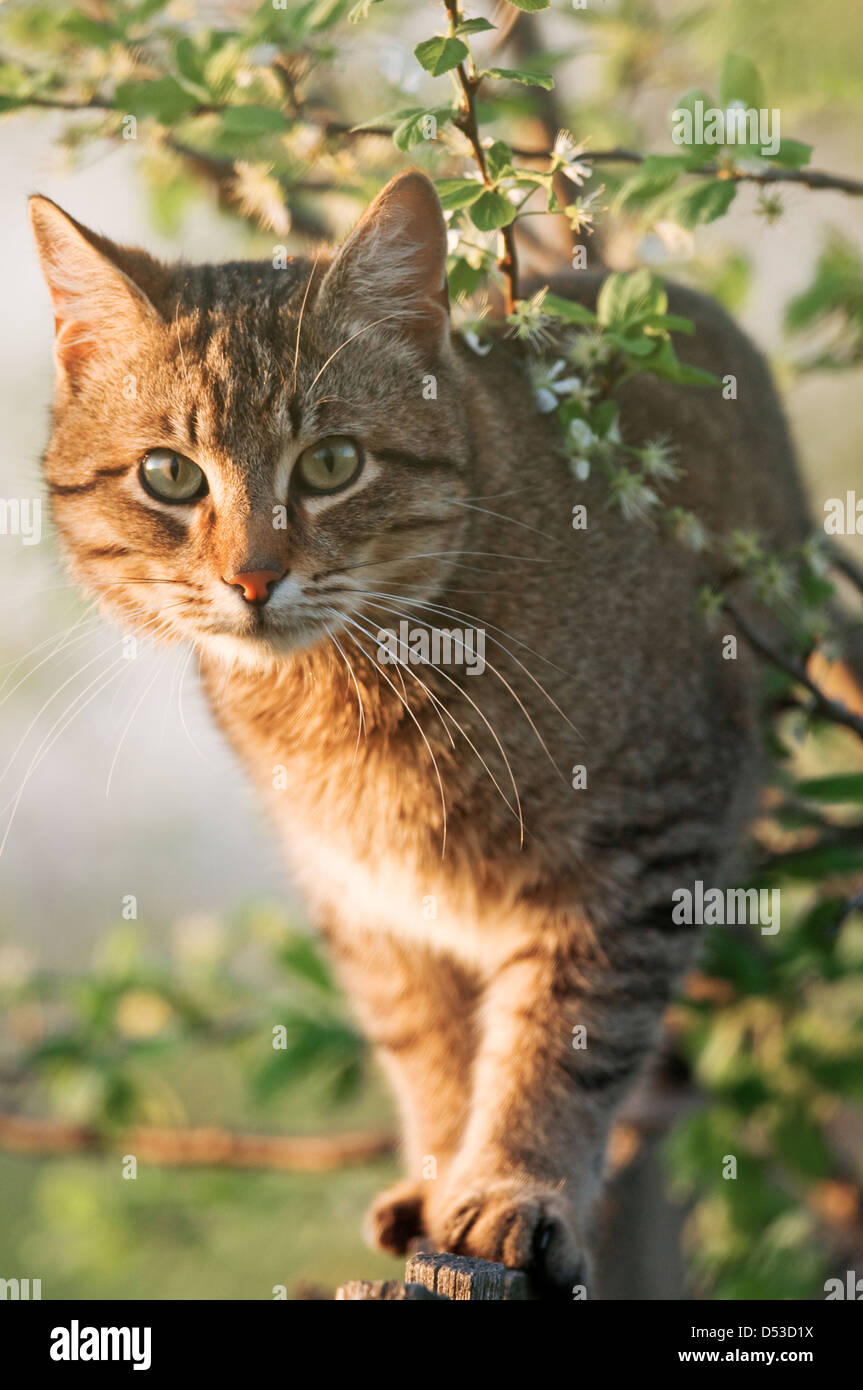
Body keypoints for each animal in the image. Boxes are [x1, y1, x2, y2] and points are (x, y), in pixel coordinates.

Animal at [30, 170, 817, 1289]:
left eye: (331, 463)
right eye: (170, 476)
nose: (254, 578)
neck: (353, 696)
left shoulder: (639, 845)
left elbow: (563, 1041)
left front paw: (512, 1185)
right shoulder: (369, 899)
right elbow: (428, 1049)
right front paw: (444, 1169)